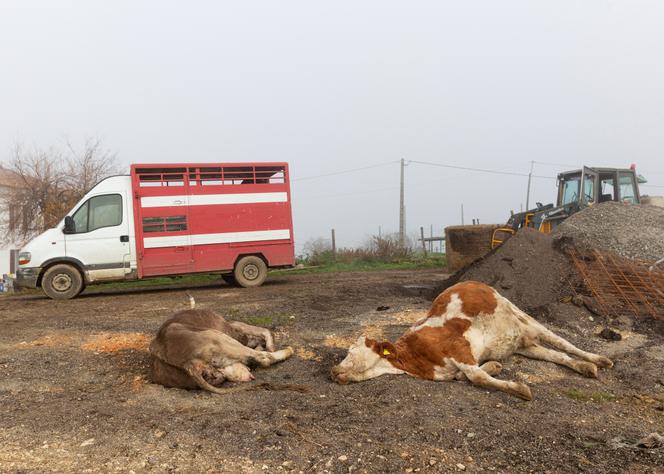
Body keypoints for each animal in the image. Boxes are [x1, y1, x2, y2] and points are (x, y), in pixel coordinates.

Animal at [149, 303, 294, 394]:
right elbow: (261, 330)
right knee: (263, 358)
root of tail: (188, 365)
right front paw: (269, 344)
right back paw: (287, 350)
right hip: (219, 337)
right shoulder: (235, 326)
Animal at [331, 281, 613, 400]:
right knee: (557, 355)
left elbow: (477, 377)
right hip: (522, 343)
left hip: (521, 315)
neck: (415, 360)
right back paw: (585, 367)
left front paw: (519, 389)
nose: (332, 371)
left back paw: (598, 359)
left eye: (351, 351)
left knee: (563, 343)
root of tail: (470, 282)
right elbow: (468, 375)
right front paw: (494, 367)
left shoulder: (459, 349)